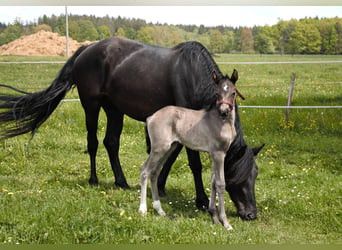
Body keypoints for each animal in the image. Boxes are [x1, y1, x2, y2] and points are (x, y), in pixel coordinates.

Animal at [0, 37, 262, 221]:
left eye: (255, 175)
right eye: (238, 177)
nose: (251, 214)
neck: (193, 75)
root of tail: (86, 49)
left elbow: (171, 156)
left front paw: (161, 187)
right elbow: (193, 163)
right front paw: (200, 199)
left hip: (114, 109)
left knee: (111, 142)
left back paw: (121, 181)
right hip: (91, 105)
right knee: (93, 141)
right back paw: (94, 180)